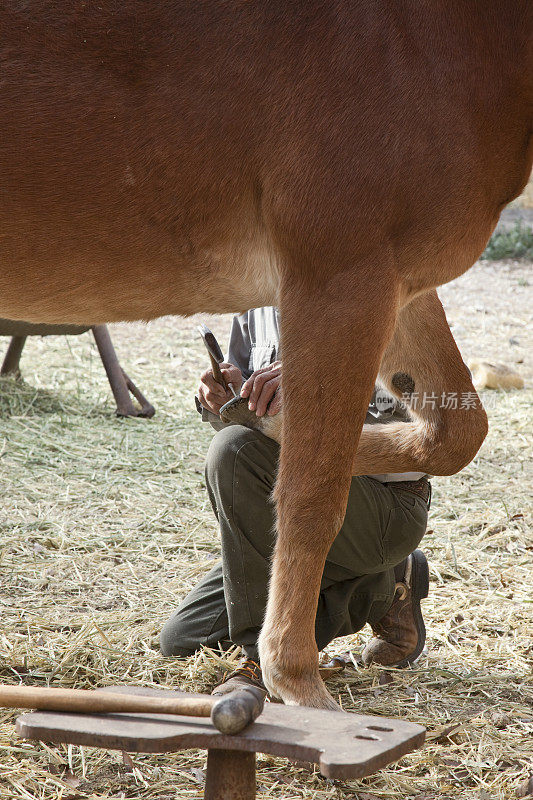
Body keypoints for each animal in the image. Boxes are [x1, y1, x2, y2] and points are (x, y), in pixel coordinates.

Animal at [0, 3, 528, 708]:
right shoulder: (343, 276)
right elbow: (312, 492)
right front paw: (297, 681)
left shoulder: (393, 277)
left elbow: (453, 431)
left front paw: (262, 417)